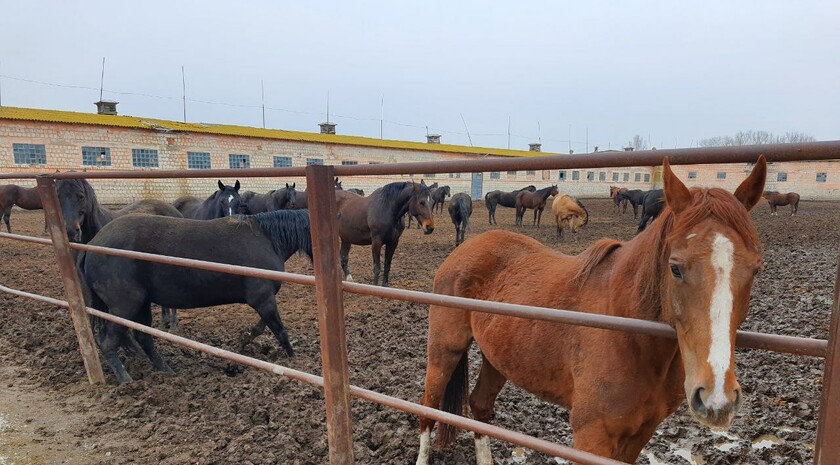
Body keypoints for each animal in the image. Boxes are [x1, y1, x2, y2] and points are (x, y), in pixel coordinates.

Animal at [79, 208, 312, 382]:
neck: (267, 239)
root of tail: (92, 244)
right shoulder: (263, 299)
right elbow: (280, 332)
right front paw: (294, 363)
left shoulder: (263, 300)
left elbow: (262, 327)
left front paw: (245, 339)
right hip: (125, 306)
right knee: (109, 342)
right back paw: (126, 380)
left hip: (140, 304)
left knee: (142, 338)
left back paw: (166, 371)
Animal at [416, 156, 768, 464]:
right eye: (676, 268)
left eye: (755, 269)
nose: (717, 397)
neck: (629, 332)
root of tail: (465, 248)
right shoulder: (592, 436)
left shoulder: (639, 434)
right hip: (444, 350)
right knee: (428, 408)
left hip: (496, 357)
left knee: (480, 406)